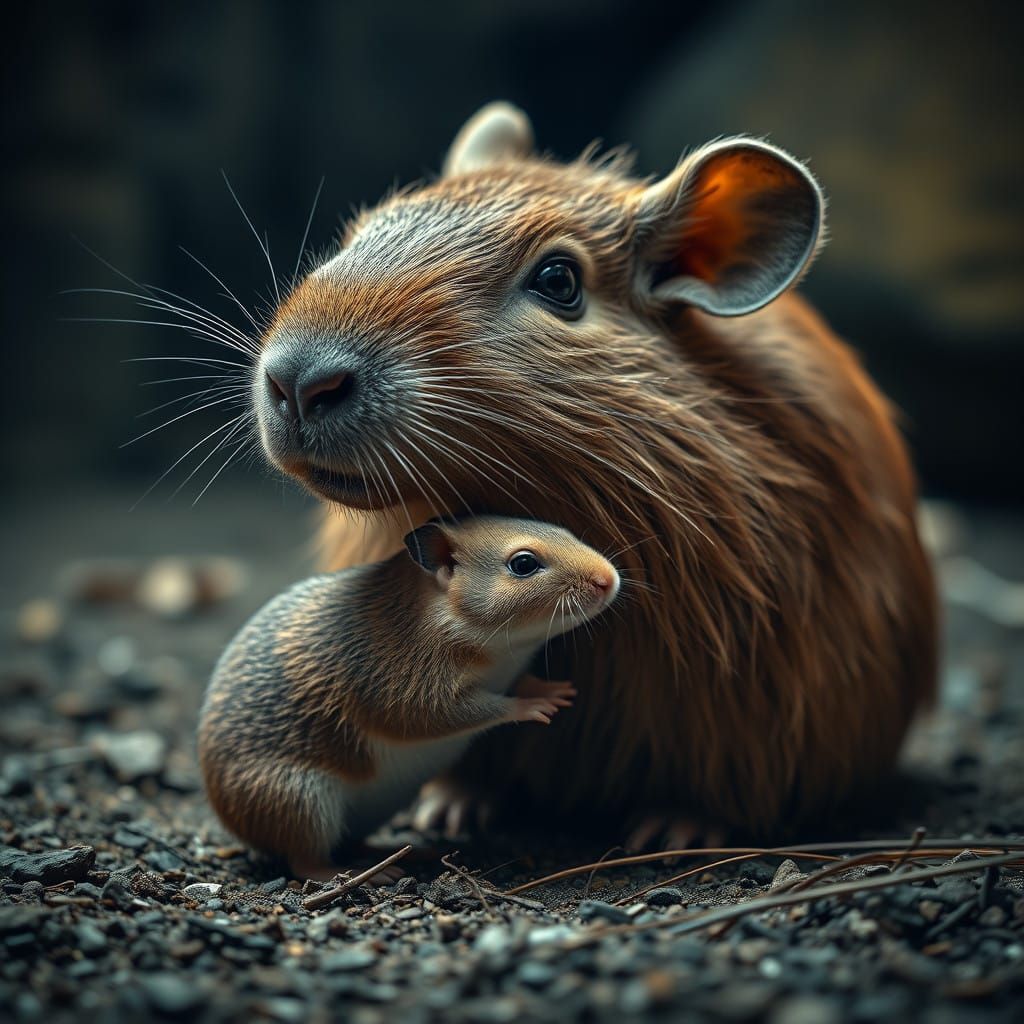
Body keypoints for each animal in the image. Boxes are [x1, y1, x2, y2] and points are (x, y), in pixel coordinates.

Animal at [198, 515, 619, 878]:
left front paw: (544, 688)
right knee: (305, 861)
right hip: (302, 801)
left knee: (349, 842)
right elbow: (463, 711)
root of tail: (230, 819)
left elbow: (518, 683)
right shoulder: (409, 693)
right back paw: (351, 874)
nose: (609, 579)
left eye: (565, 531)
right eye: (524, 564)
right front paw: (528, 705)